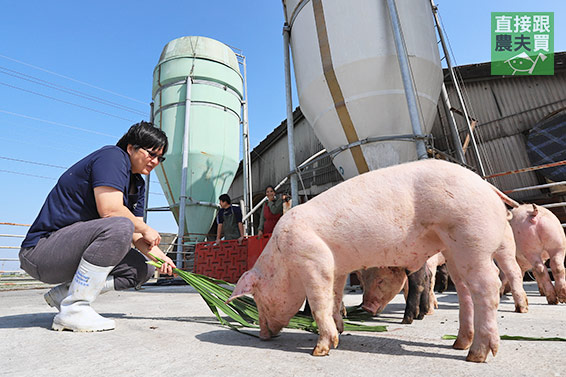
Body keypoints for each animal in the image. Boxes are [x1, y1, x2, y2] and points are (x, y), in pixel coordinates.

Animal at [229, 159, 532, 362]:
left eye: (257, 297)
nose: (263, 335)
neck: (281, 258)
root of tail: (488, 187)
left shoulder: (314, 261)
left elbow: (318, 303)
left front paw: (320, 350)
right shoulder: (337, 267)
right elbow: (335, 297)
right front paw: (342, 329)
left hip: (472, 237)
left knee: (489, 286)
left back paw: (477, 355)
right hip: (454, 250)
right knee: (465, 290)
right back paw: (459, 345)